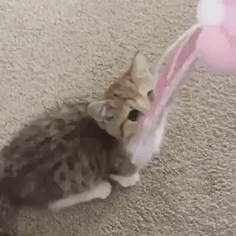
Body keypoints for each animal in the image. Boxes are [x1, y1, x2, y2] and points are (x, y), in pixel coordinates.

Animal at [0, 52, 168, 235]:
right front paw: (130, 178)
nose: (155, 112)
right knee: (57, 202)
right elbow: (123, 171)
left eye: (150, 94)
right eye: (133, 115)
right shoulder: (117, 160)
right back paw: (101, 189)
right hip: (63, 180)